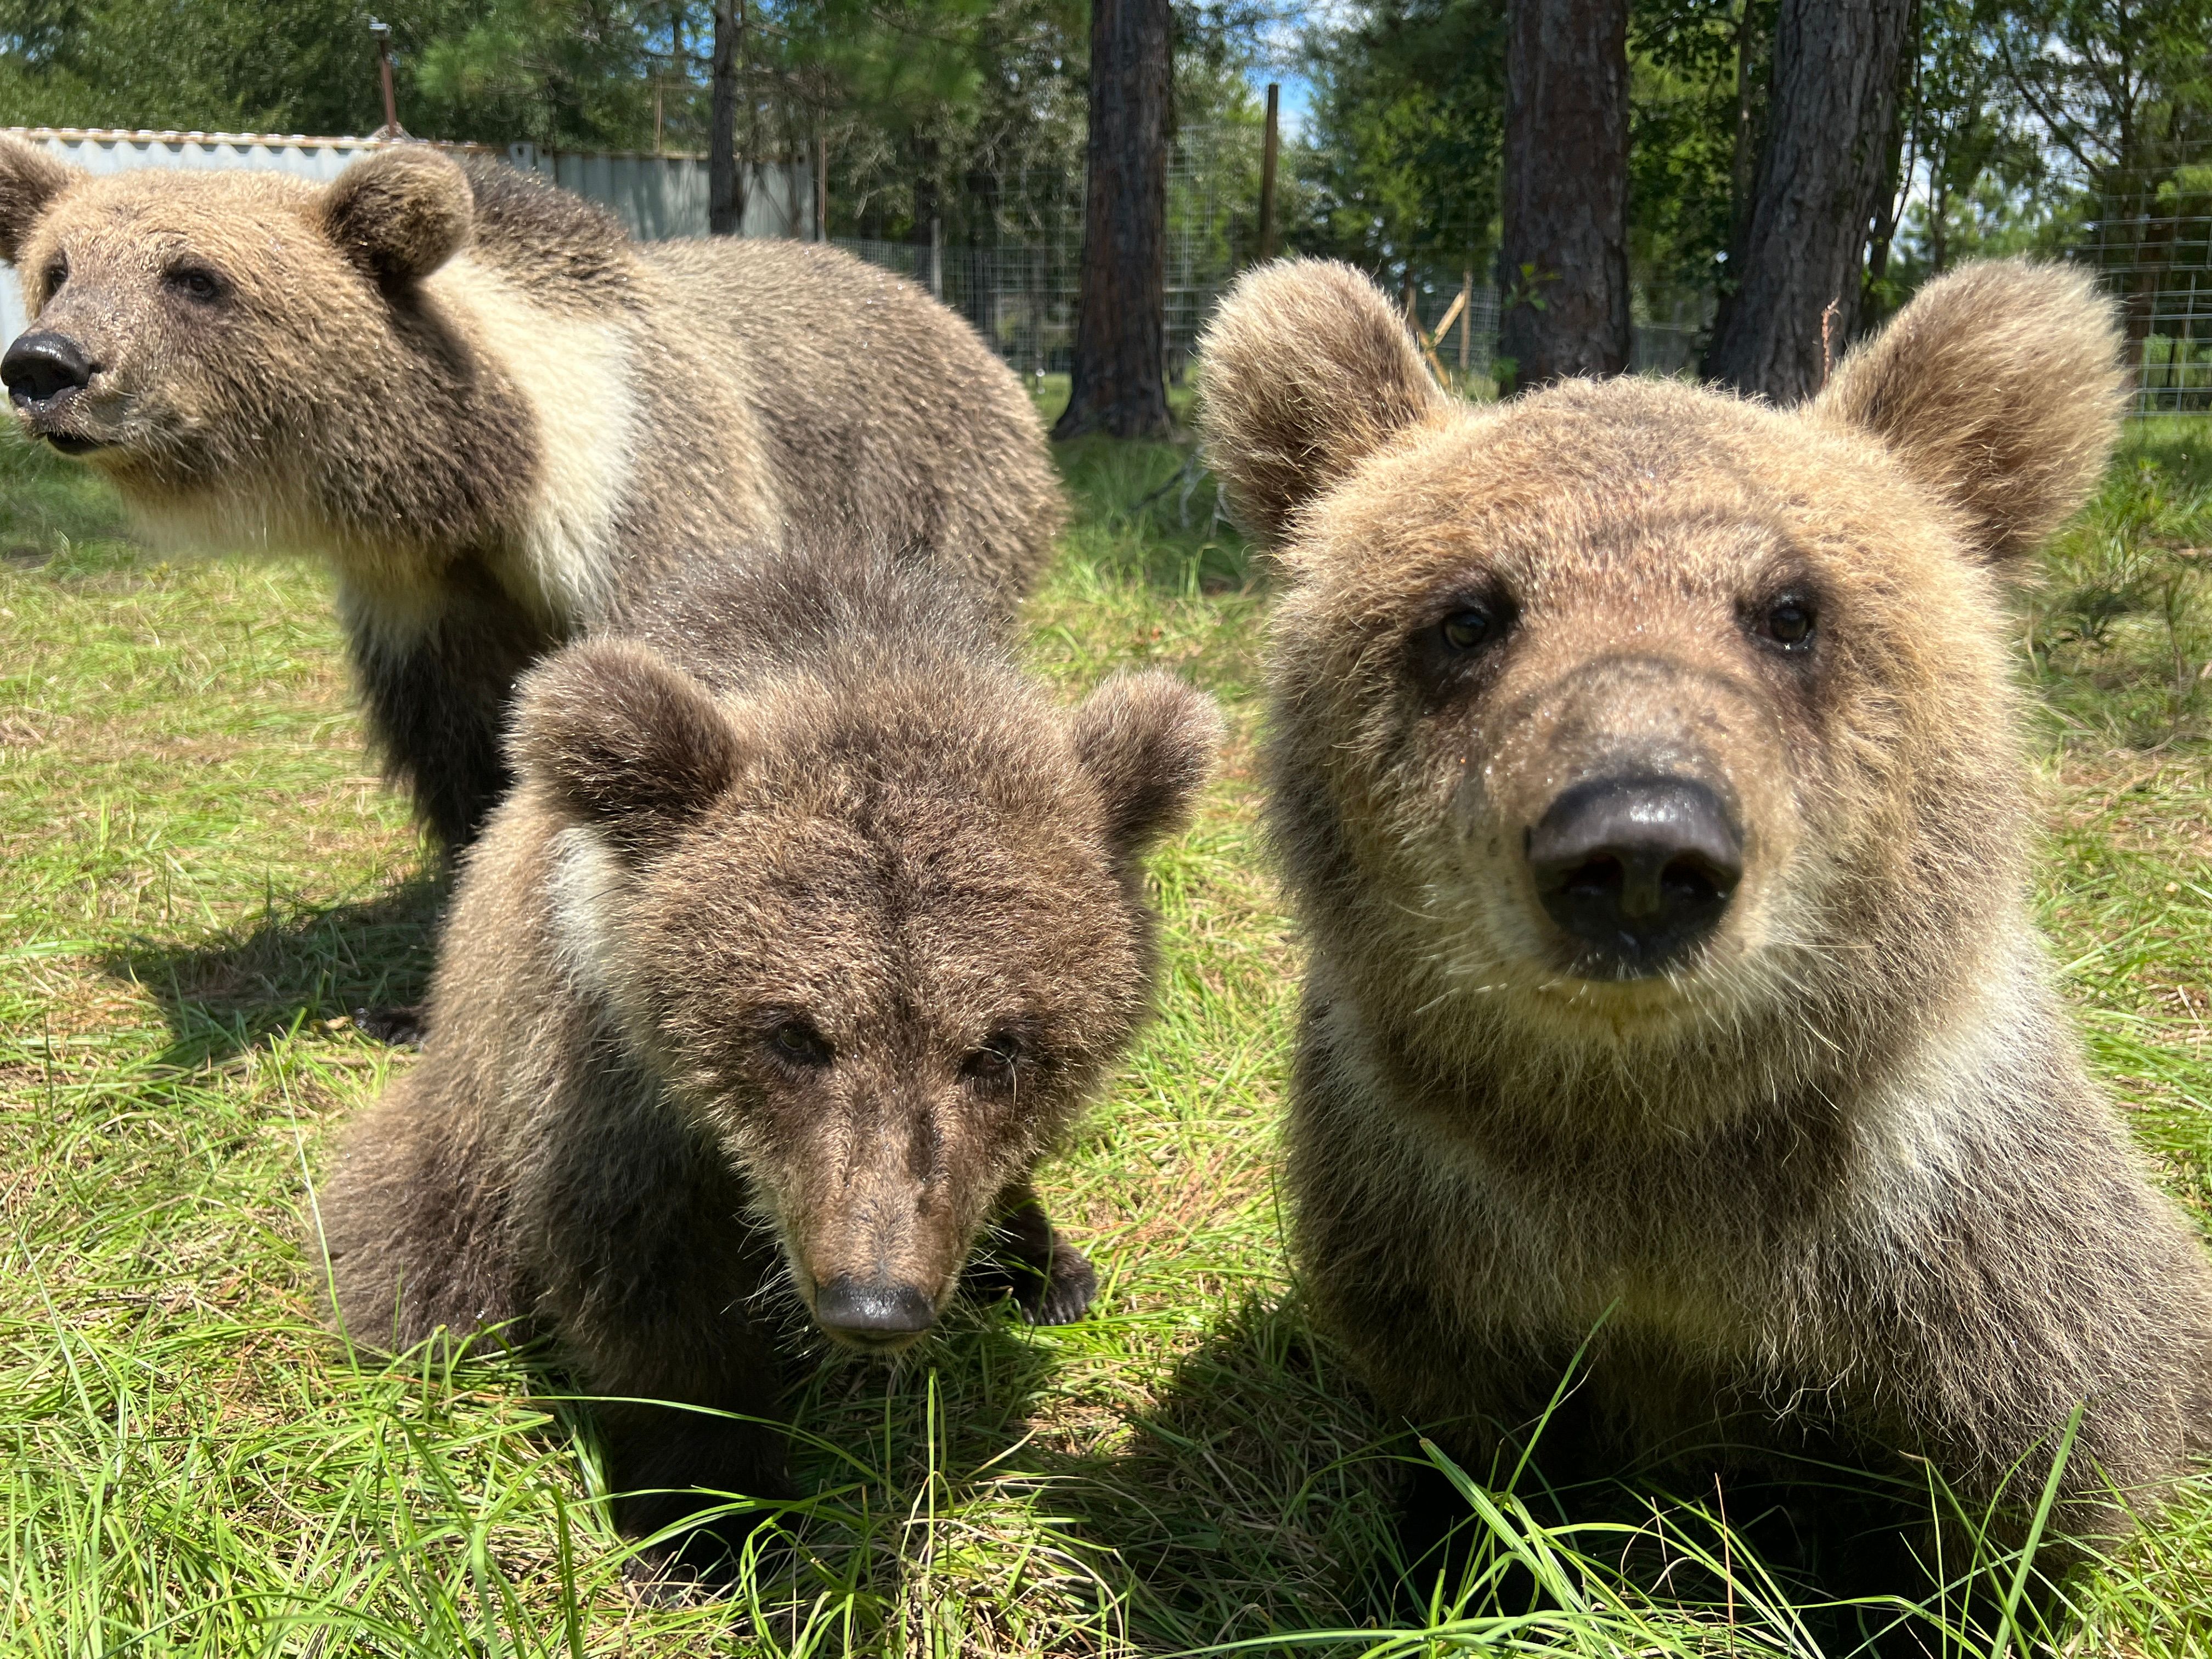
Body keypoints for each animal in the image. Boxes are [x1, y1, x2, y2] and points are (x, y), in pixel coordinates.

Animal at [0, 138, 1063, 855]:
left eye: (194, 276)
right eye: (58, 267)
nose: (45, 364)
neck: (494, 482)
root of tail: (964, 326)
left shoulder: (650, 497)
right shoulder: (426, 597)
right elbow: (466, 747)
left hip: (937, 500)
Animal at [317, 522, 1221, 1576]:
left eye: (998, 1047)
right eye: (793, 1033)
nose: (875, 1302)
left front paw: (1043, 1262)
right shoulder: (606, 1083)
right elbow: (646, 1281)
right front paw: (716, 1510)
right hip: (466, 1125)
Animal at [1197, 258, 2212, 1619]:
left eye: (1790, 610)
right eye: (1469, 614)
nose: (1636, 844)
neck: (1662, 1138)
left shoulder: (1967, 1255)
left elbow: (2025, 1494)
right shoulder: (1430, 1215)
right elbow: (1469, 1447)